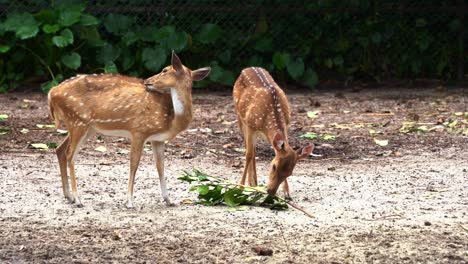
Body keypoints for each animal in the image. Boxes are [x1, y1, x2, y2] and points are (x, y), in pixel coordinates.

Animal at [48, 51, 210, 207]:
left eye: (164, 70)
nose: (147, 81)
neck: (172, 120)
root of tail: (51, 93)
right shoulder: (139, 129)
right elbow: (134, 163)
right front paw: (130, 202)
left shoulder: (157, 139)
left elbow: (161, 166)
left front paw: (169, 200)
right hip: (78, 120)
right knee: (70, 155)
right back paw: (78, 199)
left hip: (86, 127)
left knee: (60, 149)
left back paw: (69, 196)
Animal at [232, 67, 312, 199]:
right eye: (274, 166)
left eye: (290, 173)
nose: (271, 191)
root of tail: (247, 68)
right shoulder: (250, 126)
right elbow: (248, 155)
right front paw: (240, 187)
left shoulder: (287, 125)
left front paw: (287, 193)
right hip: (240, 117)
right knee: (249, 150)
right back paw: (251, 182)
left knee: (254, 150)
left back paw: (254, 182)